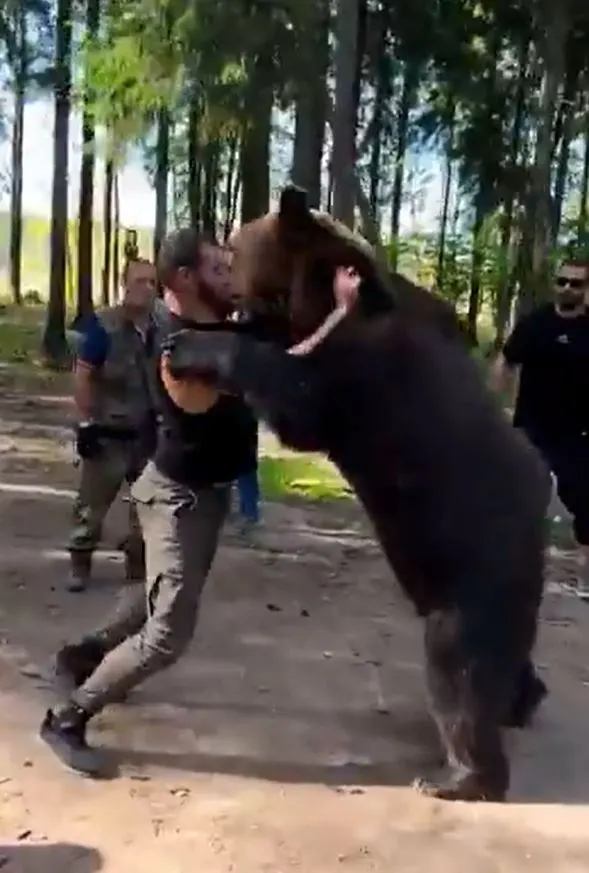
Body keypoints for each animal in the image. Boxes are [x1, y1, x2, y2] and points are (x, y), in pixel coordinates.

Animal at [163, 186, 551, 802]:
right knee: (506, 662)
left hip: (474, 568)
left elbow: (296, 399)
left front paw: (193, 345)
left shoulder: (359, 377)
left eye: (232, 247)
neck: (323, 296)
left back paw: (459, 776)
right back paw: (521, 704)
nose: (217, 258)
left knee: (459, 670)